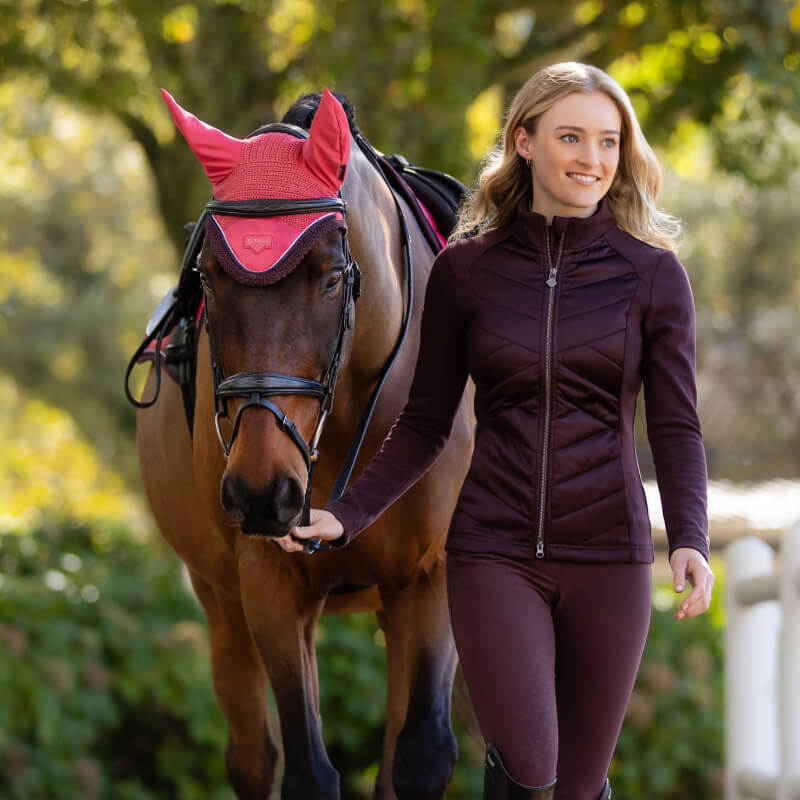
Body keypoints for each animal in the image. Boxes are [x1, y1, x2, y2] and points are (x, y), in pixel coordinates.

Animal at [133, 88, 474, 799]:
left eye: (331, 276)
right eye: (208, 278)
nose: (264, 492)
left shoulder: (432, 574)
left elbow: (421, 757)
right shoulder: (268, 581)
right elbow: (307, 770)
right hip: (221, 600)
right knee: (252, 755)